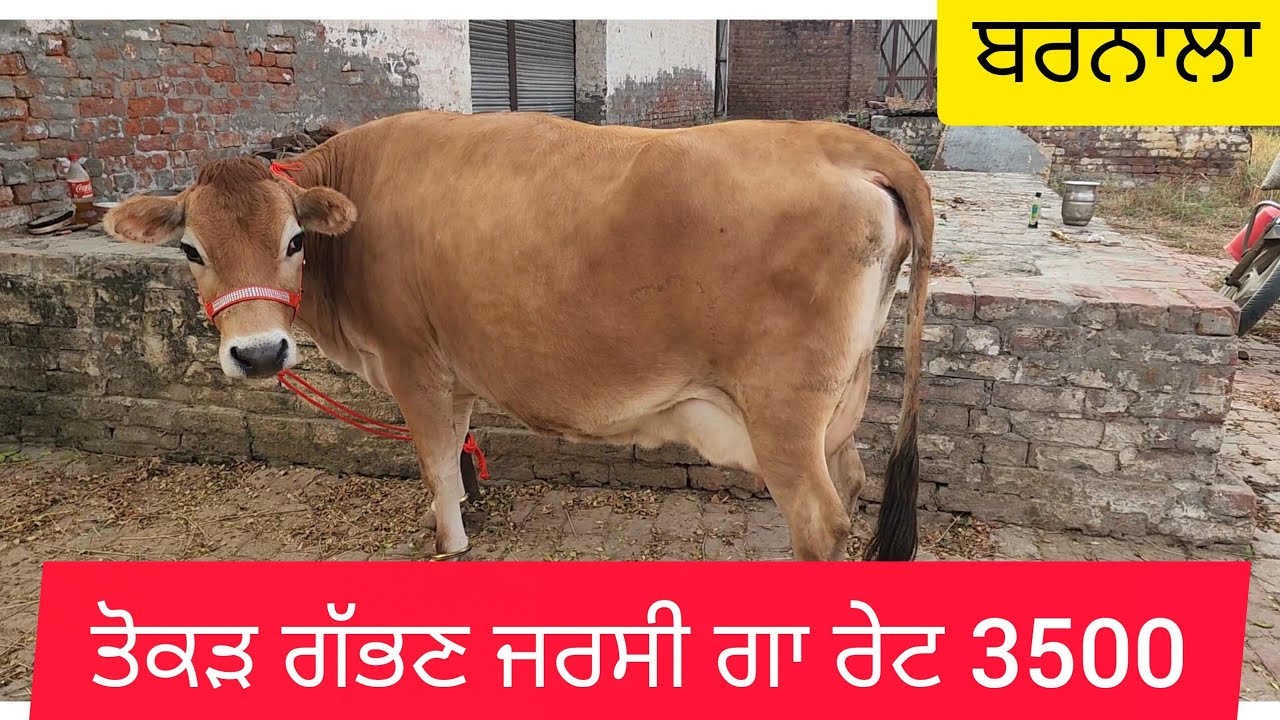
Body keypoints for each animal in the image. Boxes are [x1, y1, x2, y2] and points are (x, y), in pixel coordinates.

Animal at [103, 109, 935, 562]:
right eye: (190, 250)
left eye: (295, 240)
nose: (259, 353)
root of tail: (845, 141)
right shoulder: (453, 365)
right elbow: (457, 451)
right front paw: (460, 507)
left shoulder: (411, 362)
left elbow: (434, 458)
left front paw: (449, 540)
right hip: (839, 401)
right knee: (853, 481)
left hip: (782, 411)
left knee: (822, 521)